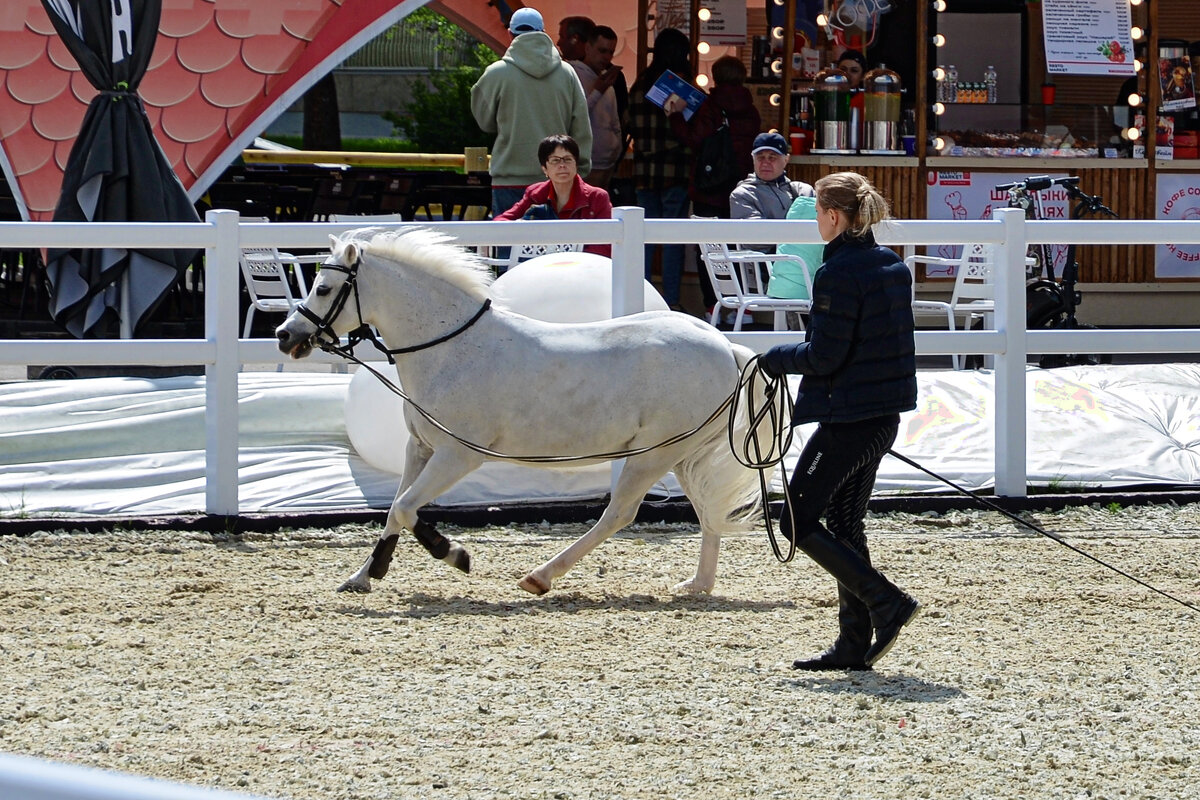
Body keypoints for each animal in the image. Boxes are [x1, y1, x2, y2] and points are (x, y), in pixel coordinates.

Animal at [277, 227, 763, 597]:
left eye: (323, 288)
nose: (286, 335)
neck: (451, 350)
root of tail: (725, 347)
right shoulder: (420, 448)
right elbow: (395, 508)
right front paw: (363, 575)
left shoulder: (458, 456)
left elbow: (405, 507)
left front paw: (455, 555)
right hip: (679, 454)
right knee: (704, 507)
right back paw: (697, 585)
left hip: (654, 455)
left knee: (620, 513)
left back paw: (540, 577)